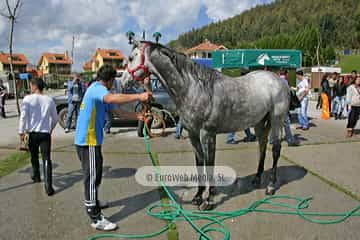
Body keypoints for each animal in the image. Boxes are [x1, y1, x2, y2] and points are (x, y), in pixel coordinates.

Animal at [122, 41, 292, 210]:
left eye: (131, 58)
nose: (123, 82)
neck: (194, 88)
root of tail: (278, 80)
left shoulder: (207, 134)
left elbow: (209, 163)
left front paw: (208, 201)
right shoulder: (193, 134)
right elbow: (199, 163)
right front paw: (198, 197)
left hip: (276, 120)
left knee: (276, 149)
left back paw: (270, 186)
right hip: (259, 123)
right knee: (262, 146)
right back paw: (257, 179)